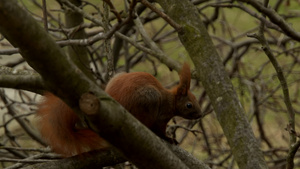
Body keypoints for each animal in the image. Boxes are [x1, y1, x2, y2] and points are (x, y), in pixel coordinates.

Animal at [37, 63, 202, 157]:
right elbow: (160, 129)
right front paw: (169, 138)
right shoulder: (161, 116)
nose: (200, 115)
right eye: (189, 105)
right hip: (149, 100)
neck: (171, 100)